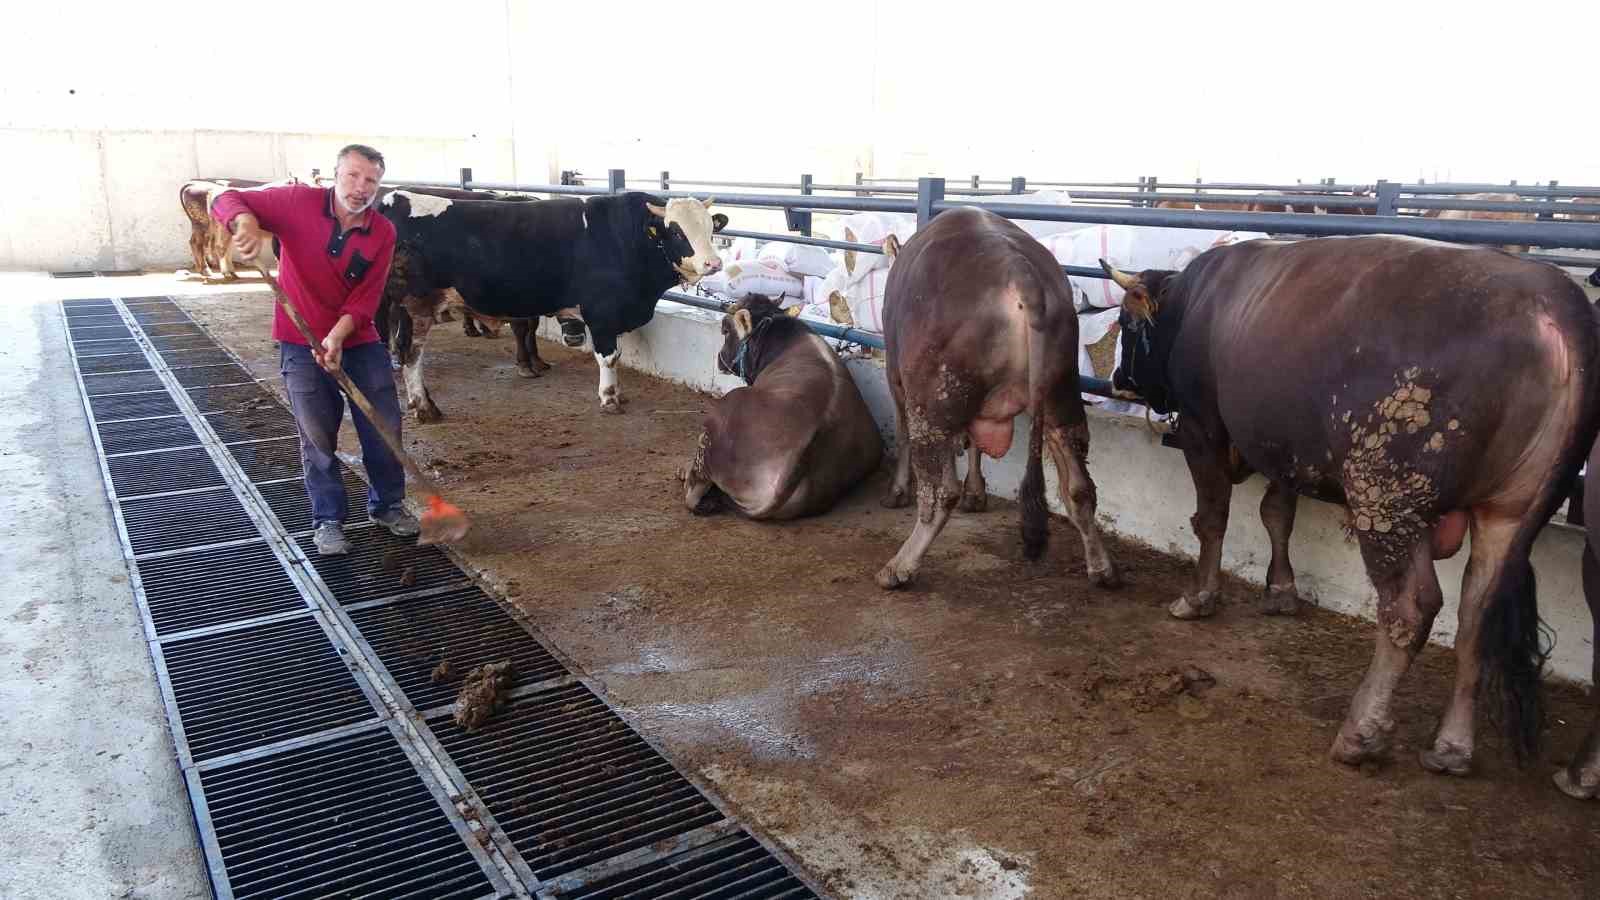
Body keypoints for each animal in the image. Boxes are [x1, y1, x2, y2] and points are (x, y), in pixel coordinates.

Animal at [377, 189, 729, 419]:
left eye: (710, 229)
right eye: (676, 231)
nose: (713, 263)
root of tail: (395, 198)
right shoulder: (601, 312)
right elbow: (609, 357)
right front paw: (609, 398)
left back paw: (425, 405)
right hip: (415, 307)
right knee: (410, 354)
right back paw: (424, 407)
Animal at [876, 208, 1126, 592]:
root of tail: (1019, 271)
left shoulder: (895, 377)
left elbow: (903, 435)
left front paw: (897, 491)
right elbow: (976, 444)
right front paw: (976, 493)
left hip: (931, 402)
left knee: (938, 492)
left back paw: (899, 567)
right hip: (1060, 396)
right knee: (1080, 487)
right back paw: (1102, 569)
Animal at [1100, 235, 1600, 775]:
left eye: (1127, 323)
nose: (1117, 379)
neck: (1193, 302)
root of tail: (1553, 302)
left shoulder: (1203, 427)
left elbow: (1212, 518)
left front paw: (1197, 598)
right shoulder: (1286, 447)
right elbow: (1277, 514)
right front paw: (1281, 592)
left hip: (1386, 495)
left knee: (1409, 609)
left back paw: (1361, 732)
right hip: (1508, 512)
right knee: (1475, 617)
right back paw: (1450, 747)